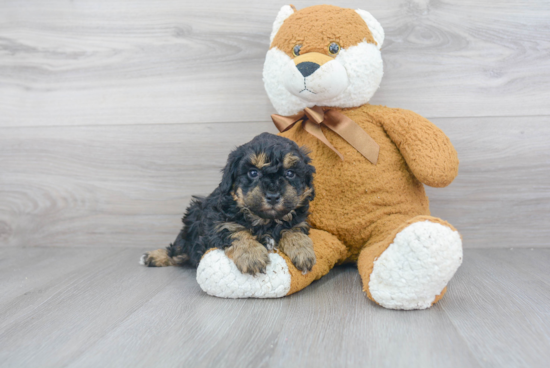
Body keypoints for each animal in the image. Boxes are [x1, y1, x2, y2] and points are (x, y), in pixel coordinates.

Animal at [140, 132, 316, 274]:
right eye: (253, 173)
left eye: (290, 173)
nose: (273, 196)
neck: (266, 221)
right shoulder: (218, 222)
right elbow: (236, 231)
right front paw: (251, 256)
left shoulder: (297, 220)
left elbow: (294, 229)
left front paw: (302, 250)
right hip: (191, 222)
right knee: (177, 249)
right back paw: (153, 257)